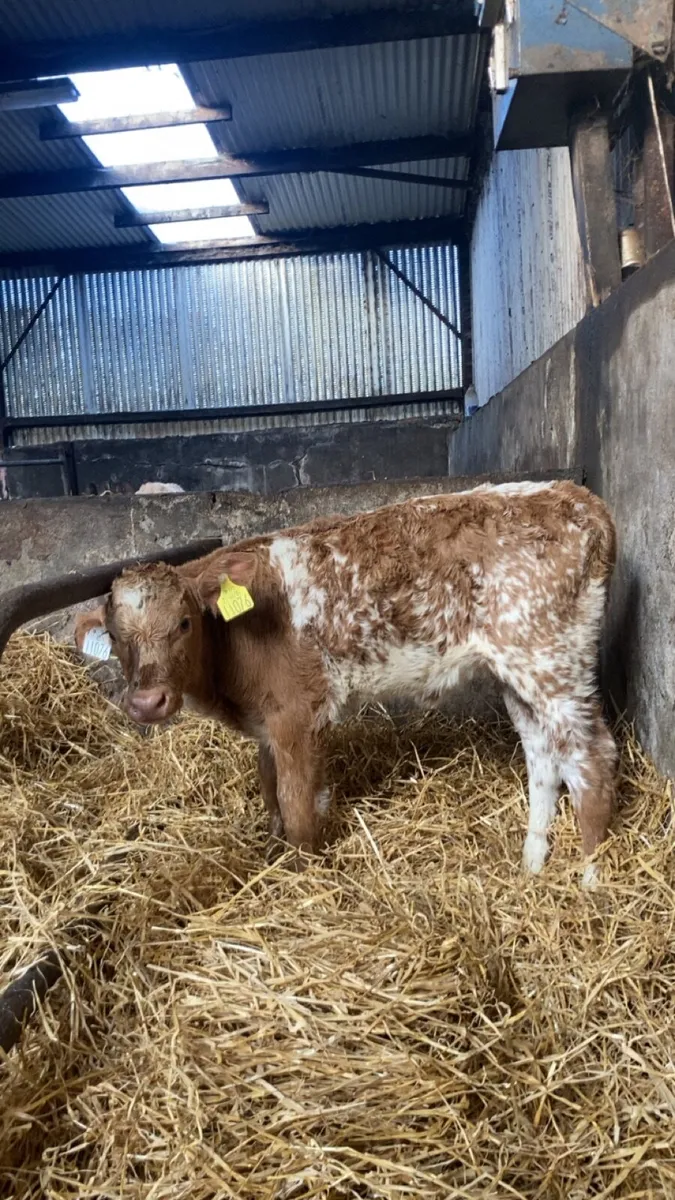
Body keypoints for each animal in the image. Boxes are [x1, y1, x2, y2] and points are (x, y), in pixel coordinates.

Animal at [74, 480, 617, 885]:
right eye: (116, 636)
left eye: (184, 623)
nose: (148, 702)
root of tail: (575, 495)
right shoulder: (268, 724)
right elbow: (271, 795)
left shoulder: (298, 714)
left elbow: (298, 808)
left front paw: (304, 878)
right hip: (519, 672)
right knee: (543, 756)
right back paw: (532, 866)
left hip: (553, 661)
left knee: (592, 754)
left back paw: (590, 879)